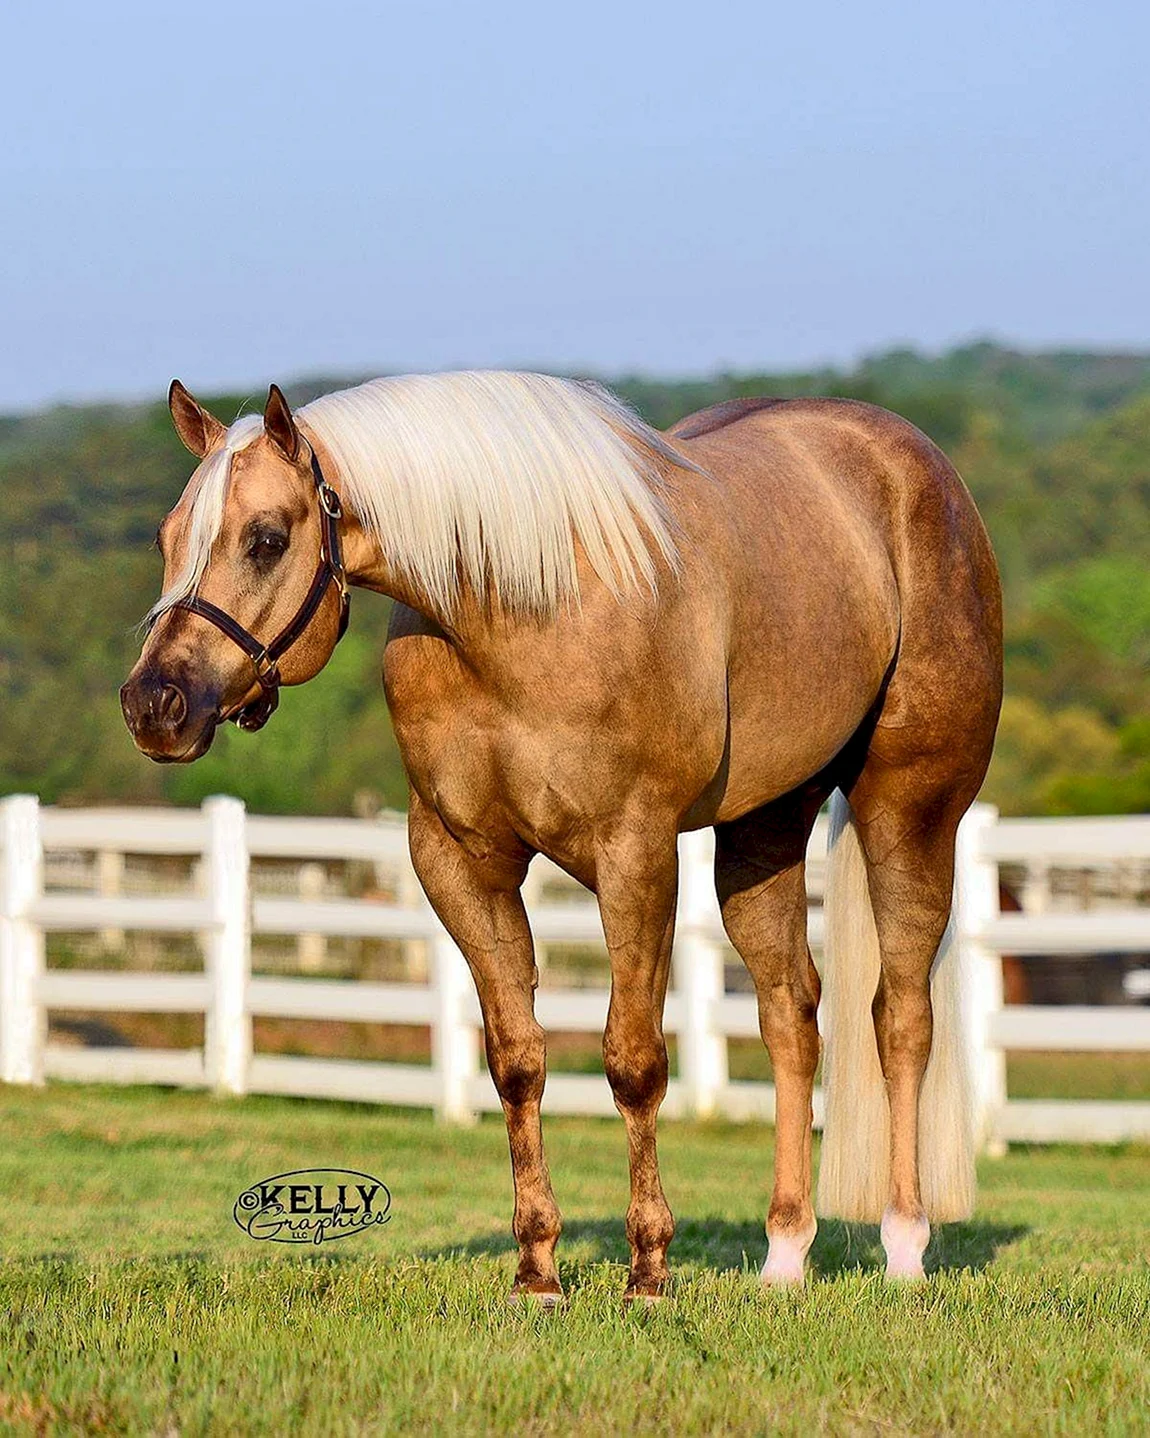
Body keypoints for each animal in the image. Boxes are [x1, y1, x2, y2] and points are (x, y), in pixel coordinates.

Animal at [121, 371, 1002, 1298]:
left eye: (265, 538)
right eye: (168, 537)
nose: (155, 705)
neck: (515, 611)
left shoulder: (635, 854)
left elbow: (634, 1063)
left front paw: (648, 1270)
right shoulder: (460, 864)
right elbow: (517, 1061)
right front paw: (537, 1271)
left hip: (908, 809)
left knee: (900, 1019)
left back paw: (904, 1249)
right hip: (763, 827)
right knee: (792, 1019)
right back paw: (785, 1256)